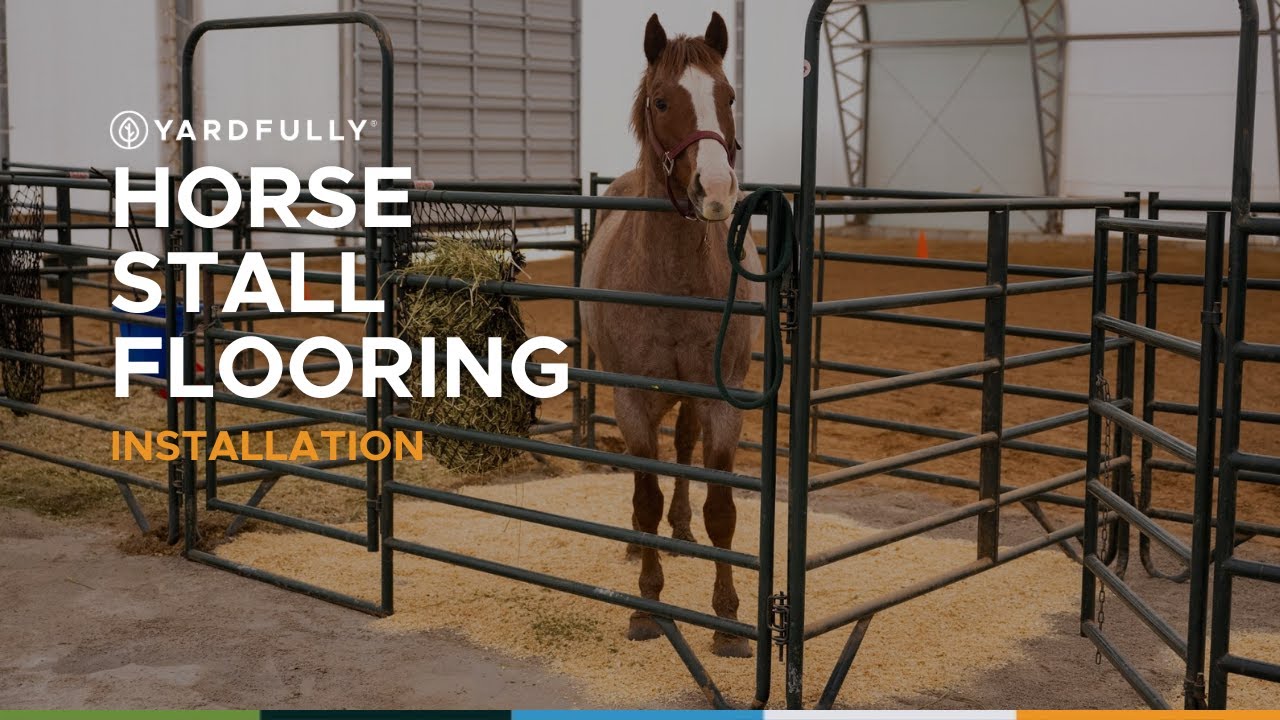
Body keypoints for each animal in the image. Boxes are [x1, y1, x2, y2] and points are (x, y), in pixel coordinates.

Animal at [580, 11, 762, 659]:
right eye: (662, 101)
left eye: (728, 97)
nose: (717, 190)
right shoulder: (632, 400)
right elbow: (645, 495)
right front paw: (646, 608)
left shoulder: (723, 401)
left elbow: (721, 508)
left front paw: (728, 619)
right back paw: (640, 542)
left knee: (682, 452)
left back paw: (679, 533)